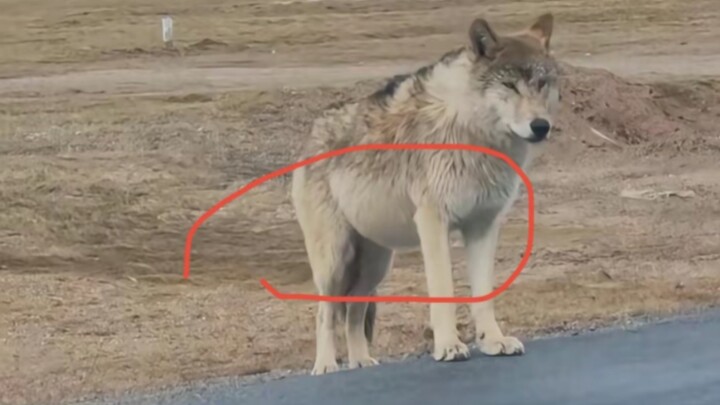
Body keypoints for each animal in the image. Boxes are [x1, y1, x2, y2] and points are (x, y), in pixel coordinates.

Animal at [291, 13, 561, 375]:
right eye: (509, 86)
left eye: (541, 84)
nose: (540, 126)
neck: (474, 132)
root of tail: (312, 131)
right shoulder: (433, 222)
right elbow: (443, 289)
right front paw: (449, 346)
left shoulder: (483, 226)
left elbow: (484, 293)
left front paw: (493, 341)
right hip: (335, 260)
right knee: (326, 312)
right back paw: (326, 366)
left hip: (376, 265)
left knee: (353, 311)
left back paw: (362, 362)